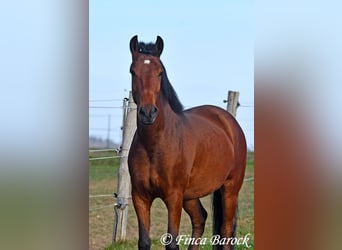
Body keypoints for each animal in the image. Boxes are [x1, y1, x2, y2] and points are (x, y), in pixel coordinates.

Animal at [128, 35, 246, 250]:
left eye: (160, 72)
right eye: (133, 71)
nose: (148, 113)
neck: (154, 146)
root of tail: (228, 121)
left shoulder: (173, 197)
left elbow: (172, 243)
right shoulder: (140, 197)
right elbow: (144, 242)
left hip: (230, 189)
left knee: (225, 230)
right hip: (190, 195)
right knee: (200, 218)